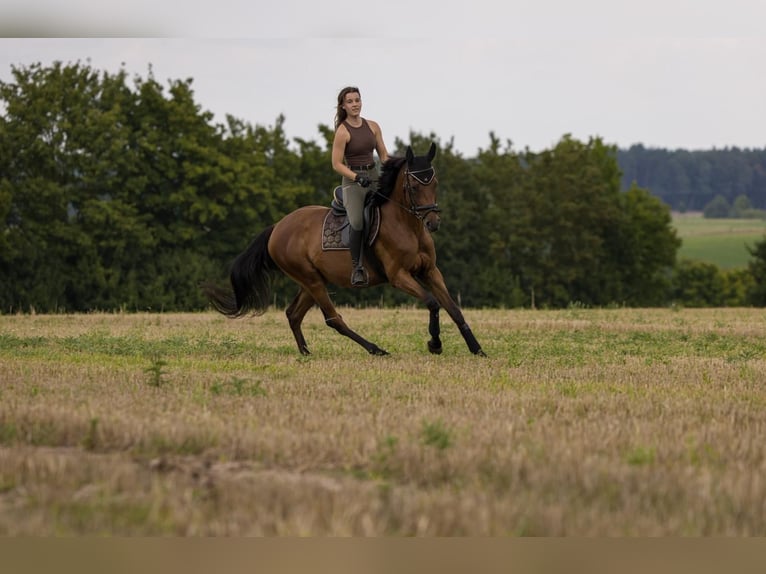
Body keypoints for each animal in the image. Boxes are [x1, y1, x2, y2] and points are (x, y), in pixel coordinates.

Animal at [203, 142, 486, 357]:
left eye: (434, 183)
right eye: (414, 187)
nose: (433, 223)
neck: (408, 227)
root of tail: (277, 227)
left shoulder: (430, 271)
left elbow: (453, 308)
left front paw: (476, 349)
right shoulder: (399, 276)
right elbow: (433, 303)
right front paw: (434, 344)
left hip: (312, 281)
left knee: (294, 314)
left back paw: (306, 353)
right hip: (311, 280)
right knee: (333, 319)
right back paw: (375, 349)